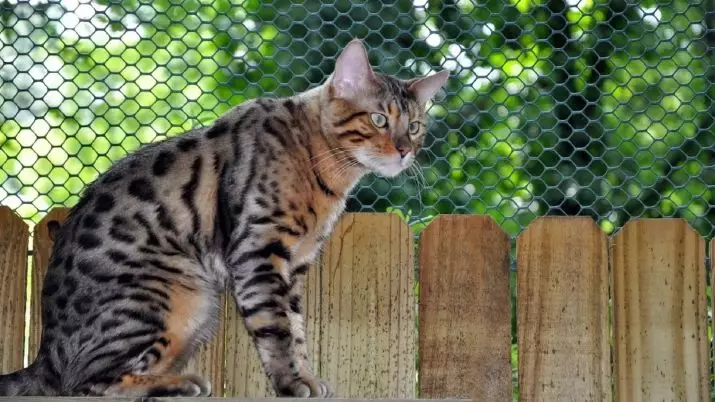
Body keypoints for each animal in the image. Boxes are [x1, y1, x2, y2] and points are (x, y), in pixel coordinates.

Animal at [0, 39, 448, 398]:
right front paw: (291, 382)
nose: (405, 150)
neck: (321, 165)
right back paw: (178, 383)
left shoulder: (295, 265)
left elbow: (297, 329)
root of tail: (46, 355)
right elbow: (276, 328)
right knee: (86, 383)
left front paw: (305, 376)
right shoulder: (259, 250)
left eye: (415, 126)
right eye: (378, 119)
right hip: (169, 295)